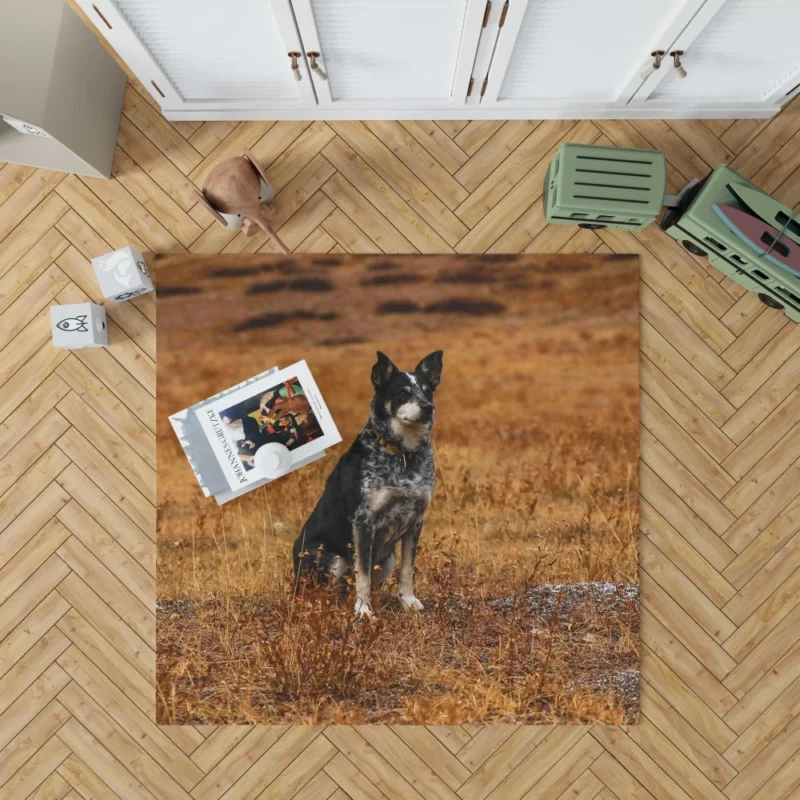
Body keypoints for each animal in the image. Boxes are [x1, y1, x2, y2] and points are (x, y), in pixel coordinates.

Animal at [294, 350, 444, 620]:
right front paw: (364, 611)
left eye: (428, 391)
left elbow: (408, 569)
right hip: (329, 557)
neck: (402, 455)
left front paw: (408, 601)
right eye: (403, 392)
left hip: (387, 560)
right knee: (319, 592)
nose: (428, 408)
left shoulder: (416, 520)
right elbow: (362, 574)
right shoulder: (364, 522)